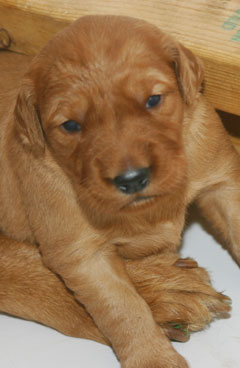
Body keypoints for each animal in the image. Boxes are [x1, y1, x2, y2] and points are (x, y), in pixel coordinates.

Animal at [0, 15, 237, 368]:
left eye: (153, 100)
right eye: (71, 125)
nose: (132, 179)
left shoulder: (221, 183)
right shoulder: (82, 254)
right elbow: (124, 308)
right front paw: (154, 357)